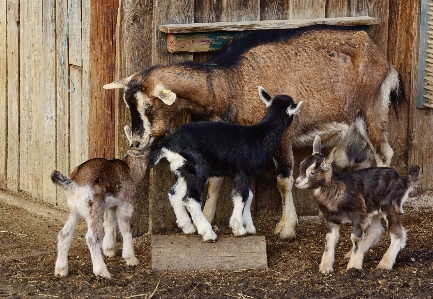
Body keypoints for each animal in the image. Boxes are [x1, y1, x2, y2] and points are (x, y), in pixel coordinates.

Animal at [50, 126, 148, 278]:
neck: (130, 171)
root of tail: (74, 184)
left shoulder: (111, 205)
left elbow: (110, 223)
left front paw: (109, 250)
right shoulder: (126, 203)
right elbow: (126, 228)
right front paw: (131, 258)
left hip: (72, 208)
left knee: (64, 234)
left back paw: (61, 270)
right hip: (94, 207)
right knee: (92, 237)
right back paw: (102, 271)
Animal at [150, 86, 302, 241]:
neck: (259, 136)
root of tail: (168, 145)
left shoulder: (242, 175)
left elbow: (249, 196)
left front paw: (249, 227)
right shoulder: (243, 172)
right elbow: (242, 197)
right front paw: (238, 229)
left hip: (184, 170)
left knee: (174, 193)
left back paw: (187, 227)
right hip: (198, 171)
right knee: (190, 199)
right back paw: (208, 233)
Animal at [294, 136, 418, 274]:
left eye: (313, 172)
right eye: (301, 167)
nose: (297, 182)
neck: (336, 189)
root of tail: (404, 181)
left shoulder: (359, 215)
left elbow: (355, 238)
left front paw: (353, 266)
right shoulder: (332, 219)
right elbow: (329, 240)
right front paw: (325, 267)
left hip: (390, 206)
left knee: (398, 233)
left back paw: (385, 263)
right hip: (372, 209)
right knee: (376, 231)